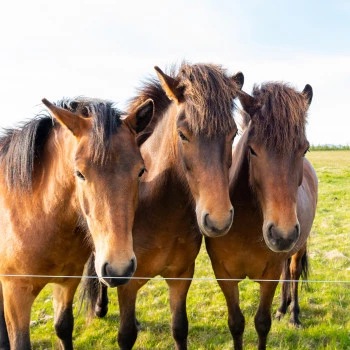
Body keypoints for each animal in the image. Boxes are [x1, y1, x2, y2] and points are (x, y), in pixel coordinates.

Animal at [0, 96, 154, 350]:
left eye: (141, 171)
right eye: (79, 173)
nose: (118, 269)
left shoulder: (67, 281)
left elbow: (63, 327)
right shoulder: (16, 292)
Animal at [83, 63, 245, 350]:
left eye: (233, 133)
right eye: (183, 134)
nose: (218, 220)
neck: (160, 212)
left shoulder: (181, 277)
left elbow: (179, 329)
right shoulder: (127, 284)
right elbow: (126, 335)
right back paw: (100, 307)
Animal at [205, 82, 318, 350]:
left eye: (304, 149)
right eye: (252, 150)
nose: (282, 235)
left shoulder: (269, 276)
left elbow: (262, 323)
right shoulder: (224, 276)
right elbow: (236, 323)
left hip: (298, 247)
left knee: (293, 273)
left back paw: (293, 315)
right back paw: (282, 309)